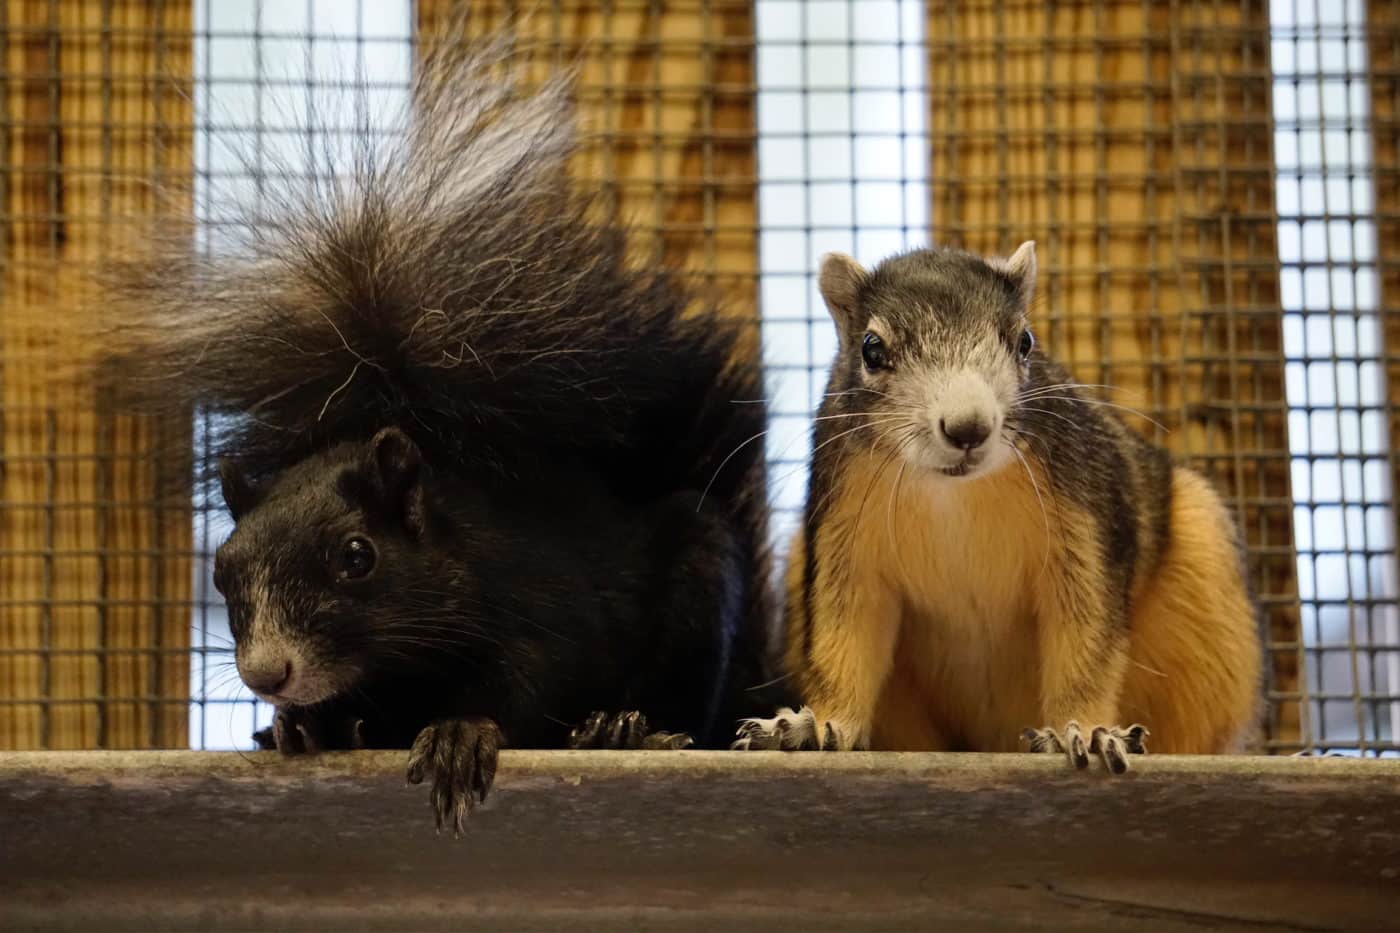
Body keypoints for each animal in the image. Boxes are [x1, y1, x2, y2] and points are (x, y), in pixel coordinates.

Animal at [92, 39, 790, 833]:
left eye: (357, 556)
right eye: (221, 572)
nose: (269, 674)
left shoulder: (543, 605)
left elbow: (530, 679)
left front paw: (460, 733)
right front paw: (305, 723)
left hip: (702, 593)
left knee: (686, 705)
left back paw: (623, 729)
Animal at [733, 243, 1263, 771]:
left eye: (1025, 341)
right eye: (871, 349)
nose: (968, 427)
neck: (952, 493)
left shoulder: (1086, 523)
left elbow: (1086, 643)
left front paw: (1087, 731)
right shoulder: (843, 534)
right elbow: (843, 638)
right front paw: (817, 725)